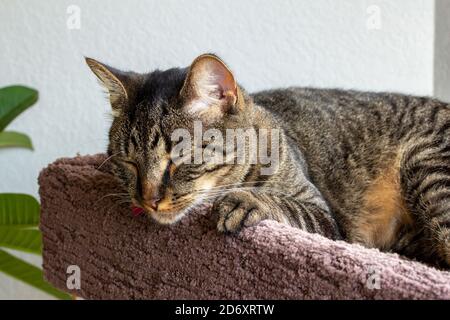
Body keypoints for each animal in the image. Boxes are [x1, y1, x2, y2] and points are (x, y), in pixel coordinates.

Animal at [86, 53, 448, 268]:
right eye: (128, 162)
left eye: (179, 159)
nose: (148, 200)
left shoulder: (325, 218)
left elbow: (284, 204)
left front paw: (245, 200)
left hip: (427, 170)